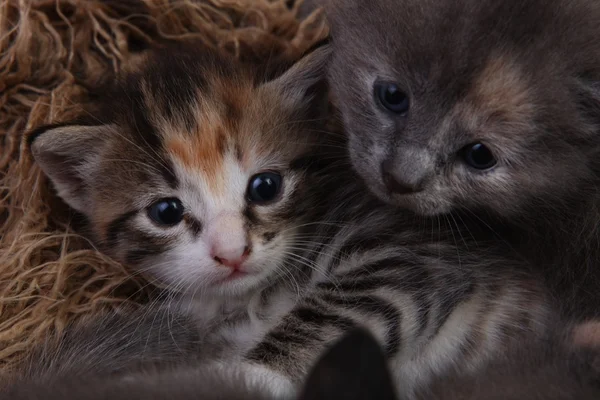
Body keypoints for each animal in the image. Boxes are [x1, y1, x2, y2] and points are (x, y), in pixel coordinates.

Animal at [27, 41, 552, 396]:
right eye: (166, 212)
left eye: (266, 187)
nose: (232, 253)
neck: (256, 299)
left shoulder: (417, 251)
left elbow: (336, 312)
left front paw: (232, 378)